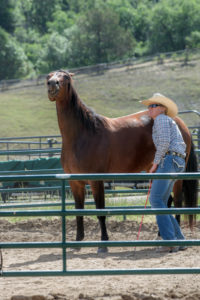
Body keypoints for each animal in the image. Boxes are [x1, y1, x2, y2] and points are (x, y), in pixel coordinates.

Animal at [47, 69, 198, 252]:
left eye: (65, 77)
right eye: (48, 76)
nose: (52, 85)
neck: (83, 134)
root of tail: (180, 122)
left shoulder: (96, 181)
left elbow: (101, 211)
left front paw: (104, 243)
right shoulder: (75, 183)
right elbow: (78, 211)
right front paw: (77, 242)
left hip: (176, 177)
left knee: (177, 201)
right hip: (154, 171)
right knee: (166, 201)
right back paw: (160, 236)